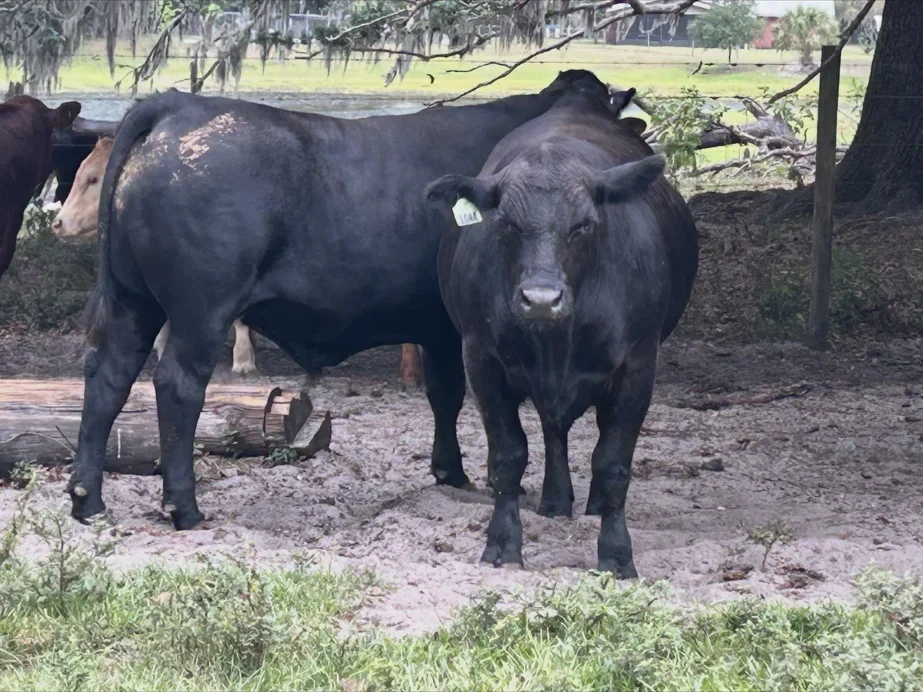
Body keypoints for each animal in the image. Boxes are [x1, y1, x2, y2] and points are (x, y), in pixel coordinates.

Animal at [65, 70, 623, 531]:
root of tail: (179, 107)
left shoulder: (437, 328)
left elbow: (443, 396)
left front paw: (448, 472)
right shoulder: (469, 330)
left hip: (132, 302)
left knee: (108, 375)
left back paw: (88, 500)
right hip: (199, 310)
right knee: (177, 386)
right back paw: (183, 506)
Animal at [425, 85, 698, 577]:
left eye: (584, 225)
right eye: (507, 224)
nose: (540, 298)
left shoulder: (639, 365)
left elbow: (612, 463)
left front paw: (616, 554)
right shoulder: (480, 360)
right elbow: (509, 454)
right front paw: (503, 543)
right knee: (554, 431)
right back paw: (555, 500)